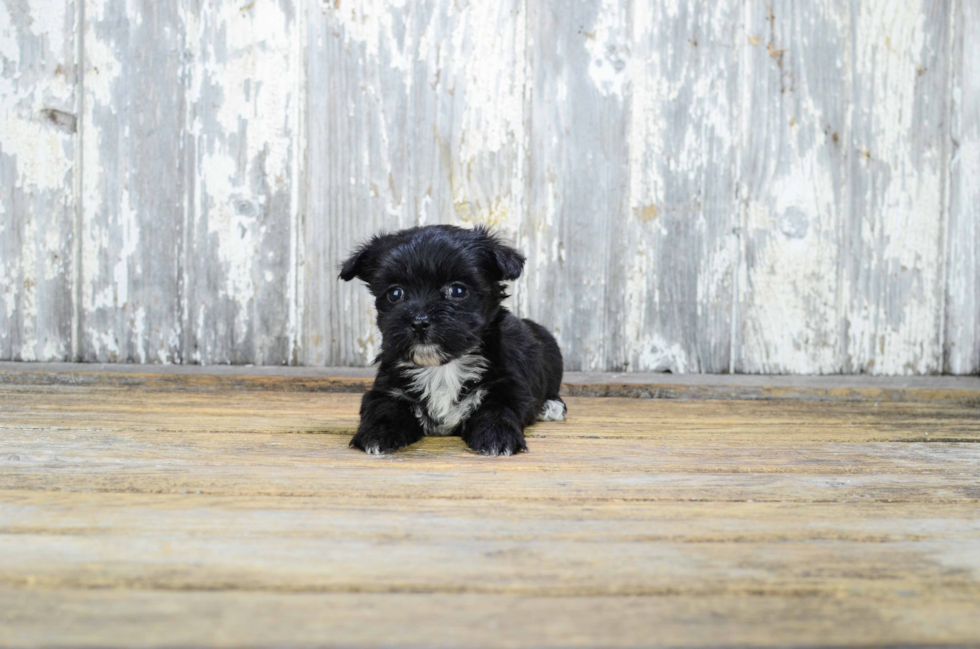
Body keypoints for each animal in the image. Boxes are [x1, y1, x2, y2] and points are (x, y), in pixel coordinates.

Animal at [340, 225, 568, 454]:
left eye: (457, 291)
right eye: (395, 293)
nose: (419, 321)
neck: (442, 369)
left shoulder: (510, 386)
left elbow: (499, 408)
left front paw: (496, 435)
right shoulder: (386, 389)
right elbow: (384, 408)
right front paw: (377, 434)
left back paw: (552, 406)